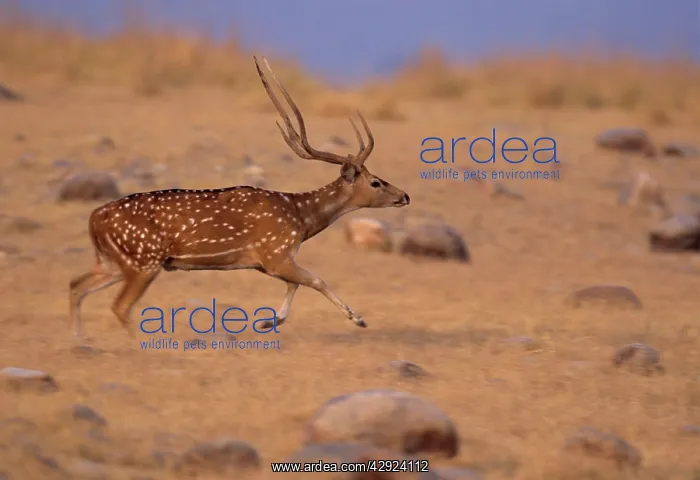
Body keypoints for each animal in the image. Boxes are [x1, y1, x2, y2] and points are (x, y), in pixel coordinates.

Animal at [68, 55, 410, 341]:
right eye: (376, 182)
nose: (405, 195)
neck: (301, 218)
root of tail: (94, 218)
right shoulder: (276, 252)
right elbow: (315, 280)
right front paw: (359, 319)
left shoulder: (265, 262)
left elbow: (296, 283)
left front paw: (268, 321)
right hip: (144, 260)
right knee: (119, 305)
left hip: (114, 261)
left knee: (76, 285)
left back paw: (80, 340)